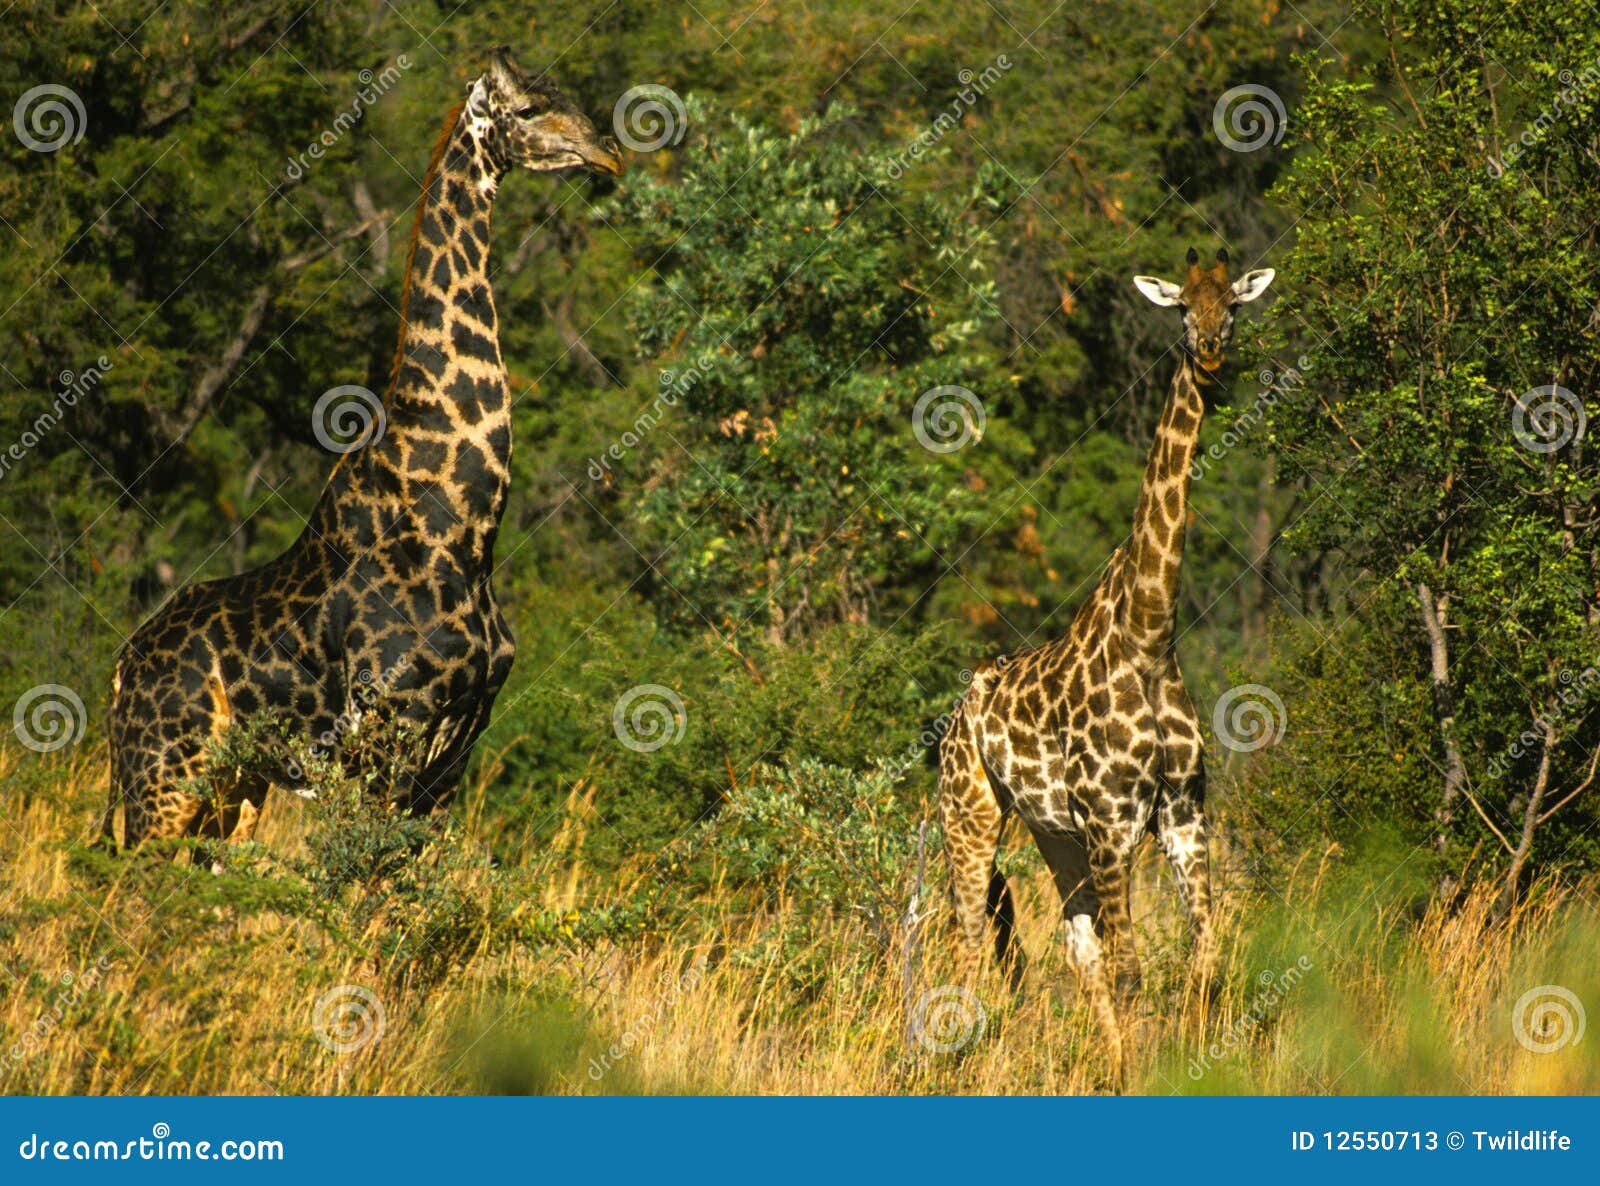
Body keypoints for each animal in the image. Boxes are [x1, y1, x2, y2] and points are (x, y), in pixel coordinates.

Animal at [102, 48, 624, 847]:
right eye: (530, 109)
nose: (610, 153)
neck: (464, 523)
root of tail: (120, 672)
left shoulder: (458, 743)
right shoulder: (388, 726)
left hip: (232, 790)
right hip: (164, 777)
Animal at [937, 247, 1274, 1080]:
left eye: (1234, 305)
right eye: (1181, 306)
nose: (1211, 353)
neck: (1151, 635)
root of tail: (953, 717)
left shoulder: (1182, 814)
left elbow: (1203, 955)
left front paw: (1182, 1066)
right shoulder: (1114, 819)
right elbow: (1132, 970)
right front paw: (1145, 1077)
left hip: (1055, 835)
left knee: (1073, 948)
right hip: (971, 816)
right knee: (968, 942)